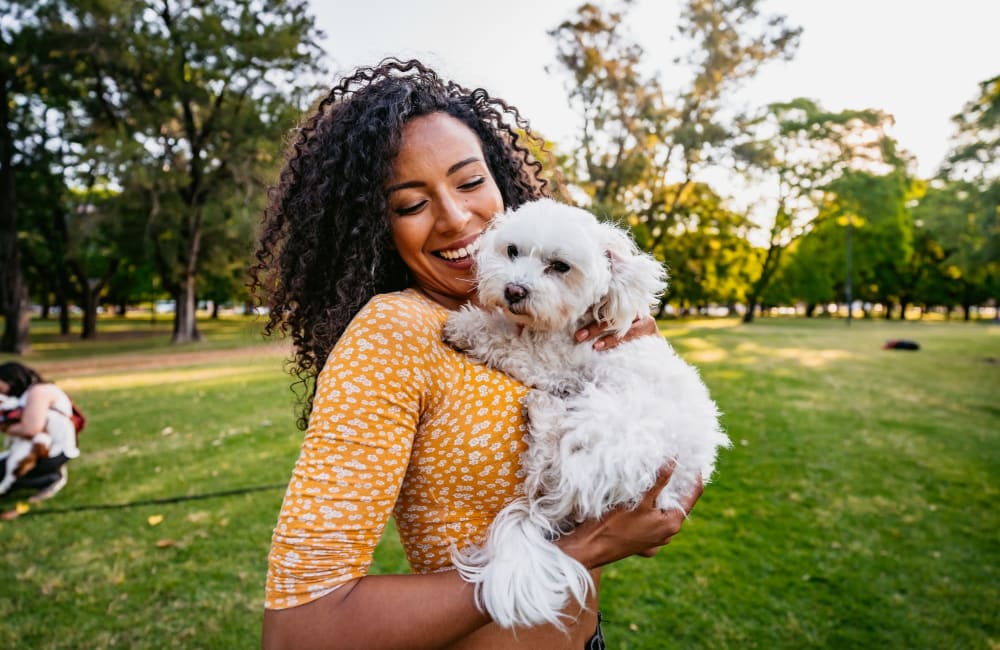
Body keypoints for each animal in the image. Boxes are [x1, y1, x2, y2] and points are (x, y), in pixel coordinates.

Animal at [442, 199, 732, 628]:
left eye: (560, 266)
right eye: (512, 251)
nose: (514, 290)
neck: (567, 326)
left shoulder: (554, 363)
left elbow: (509, 343)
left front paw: (467, 325)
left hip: (608, 424)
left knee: (548, 467)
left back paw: (544, 413)